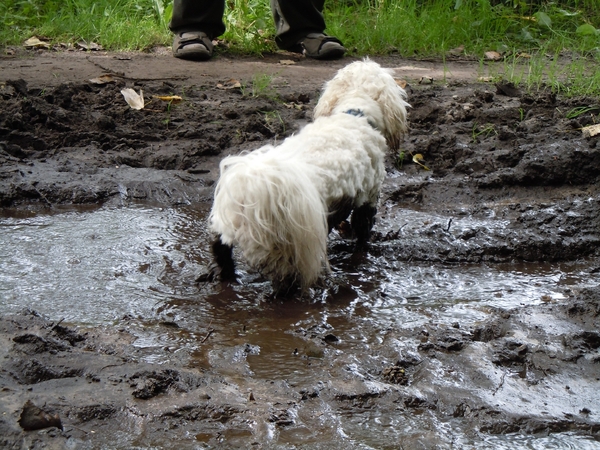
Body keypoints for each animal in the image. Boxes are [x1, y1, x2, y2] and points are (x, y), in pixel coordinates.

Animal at [205, 59, 408, 294]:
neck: (355, 113)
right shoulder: (368, 197)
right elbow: (362, 233)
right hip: (286, 254)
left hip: (225, 231)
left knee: (222, 252)